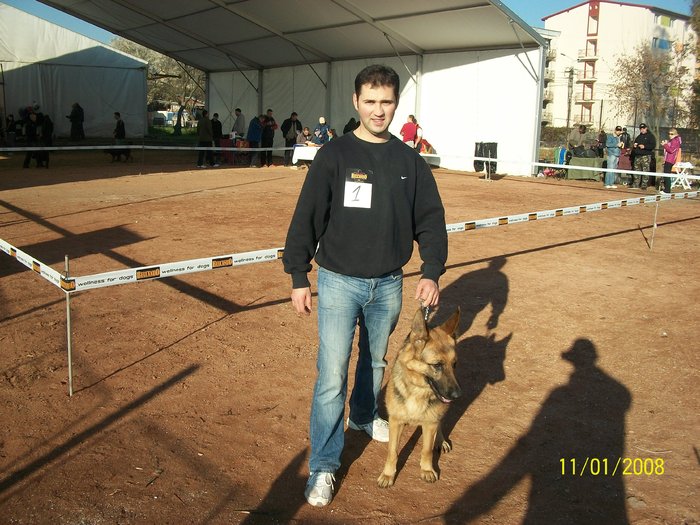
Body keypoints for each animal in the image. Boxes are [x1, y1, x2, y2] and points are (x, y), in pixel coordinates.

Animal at [378, 304, 460, 486]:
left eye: (454, 364)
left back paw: (440, 440)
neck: (418, 391)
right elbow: (392, 452)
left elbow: (427, 450)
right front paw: (388, 474)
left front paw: (427, 470)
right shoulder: (396, 422)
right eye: (437, 365)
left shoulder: (430, 423)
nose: (457, 395)